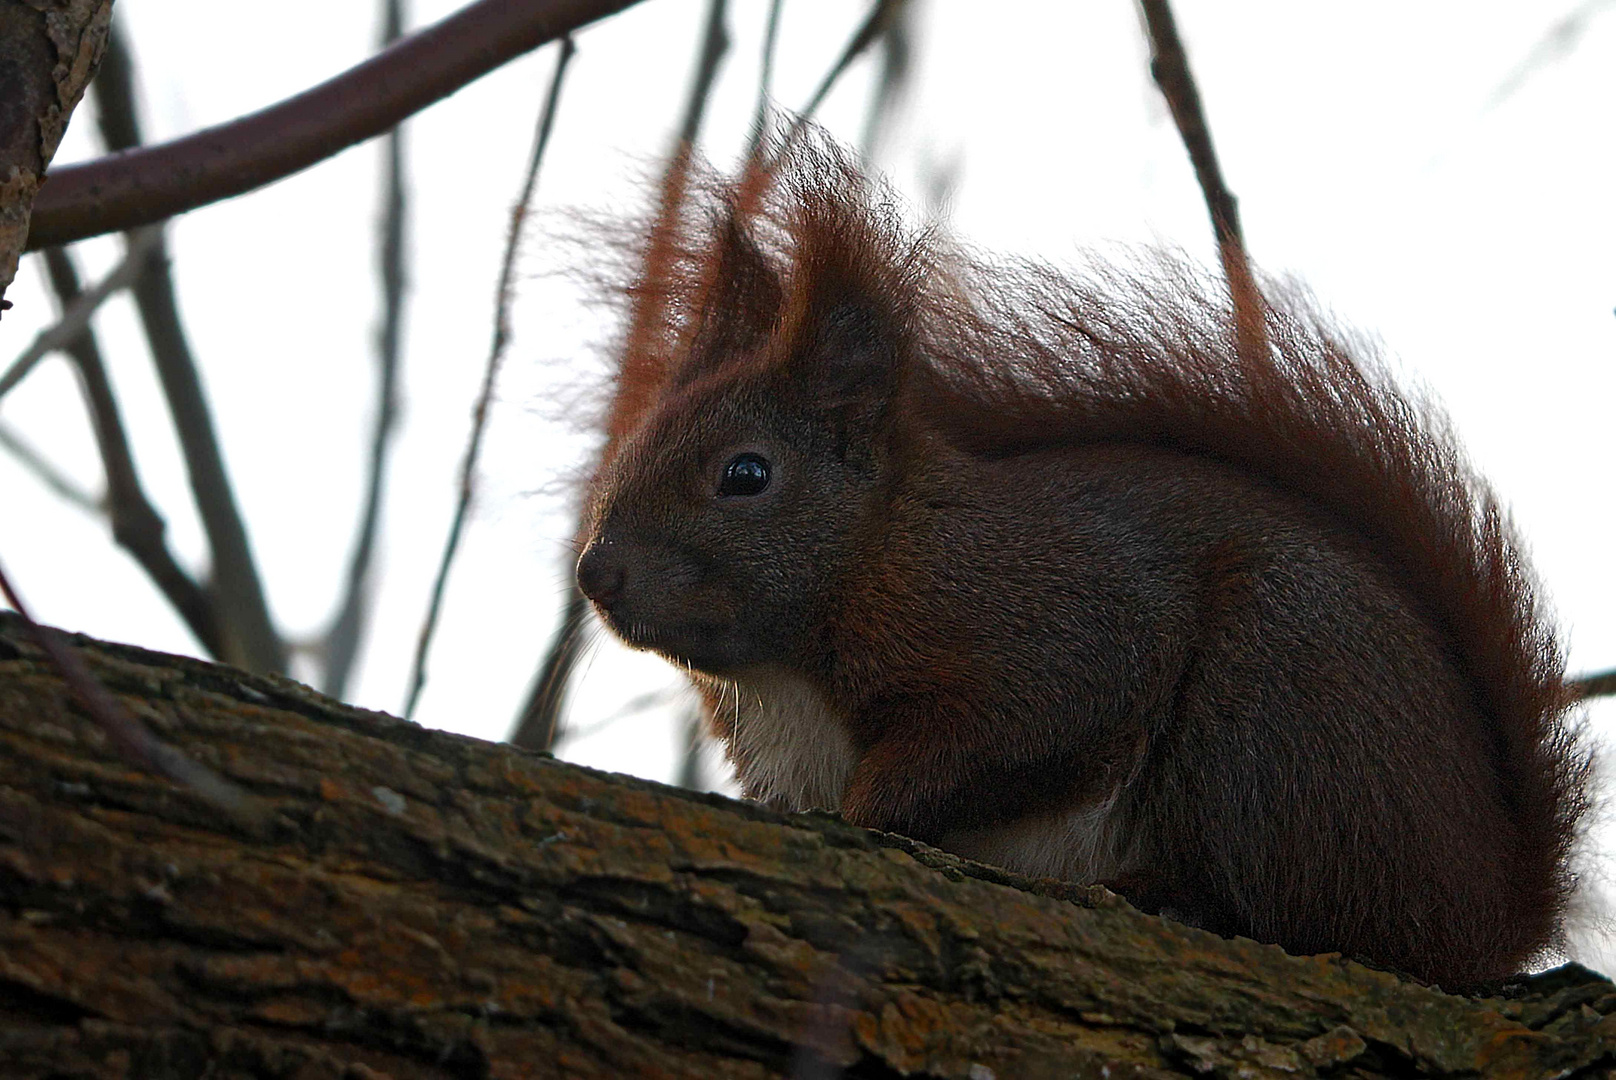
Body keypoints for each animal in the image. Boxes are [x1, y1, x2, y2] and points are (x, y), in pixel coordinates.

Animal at [572, 132, 1590, 989]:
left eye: (745, 474)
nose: (595, 574)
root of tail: (1491, 904)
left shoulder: (1047, 620)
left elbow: (1026, 727)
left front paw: (869, 811)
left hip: (1277, 711)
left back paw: (1172, 895)